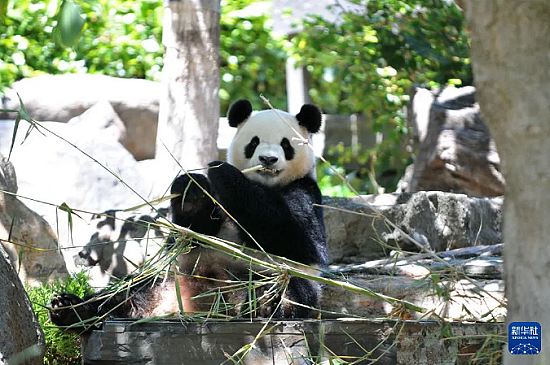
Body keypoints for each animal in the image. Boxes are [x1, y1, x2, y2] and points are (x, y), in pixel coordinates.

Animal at [49, 98, 328, 328]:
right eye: (254, 142)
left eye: (285, 144)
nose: (268, 160)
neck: (264, 184)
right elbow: (193, 231)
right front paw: (191, 188)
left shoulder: (307, 192)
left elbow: (295, 236)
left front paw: (225, 174)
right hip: (164, 277)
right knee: (122, 292)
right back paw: (70, 308)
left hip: (279, 278)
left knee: (288, 290)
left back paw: (264, 303)